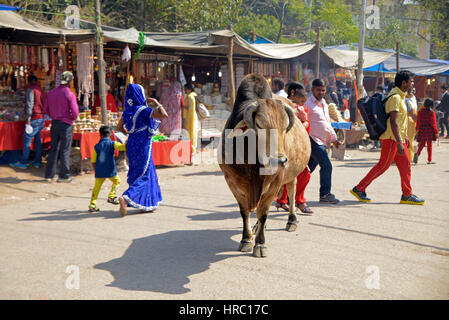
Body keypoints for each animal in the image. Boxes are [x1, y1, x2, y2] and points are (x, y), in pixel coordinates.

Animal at [218, 74, 310, 258]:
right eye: (259, 125)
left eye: (285, 127)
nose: (280, 161)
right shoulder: (231, 181)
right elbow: (244, 211)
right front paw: (246, 239)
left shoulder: (274, 184)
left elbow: (264, 212)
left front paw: (260, 244)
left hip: (292, 174)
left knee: (292, 190)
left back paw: (292, 220)